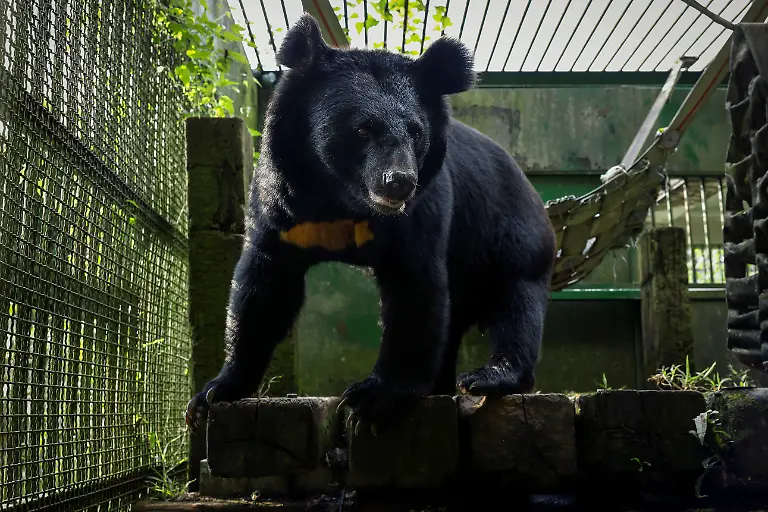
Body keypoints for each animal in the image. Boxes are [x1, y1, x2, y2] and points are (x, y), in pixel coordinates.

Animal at [185, 13, 556, 433]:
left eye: (416, 132)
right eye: (362, 129)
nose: (399, 182)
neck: (342, 198)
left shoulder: (422, 211)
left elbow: (415, 287)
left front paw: (373, 397)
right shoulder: (281, 209)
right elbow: (262, 291)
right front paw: (213, 394)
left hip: (514, 235)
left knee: (516, 303)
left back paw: (488, 377)